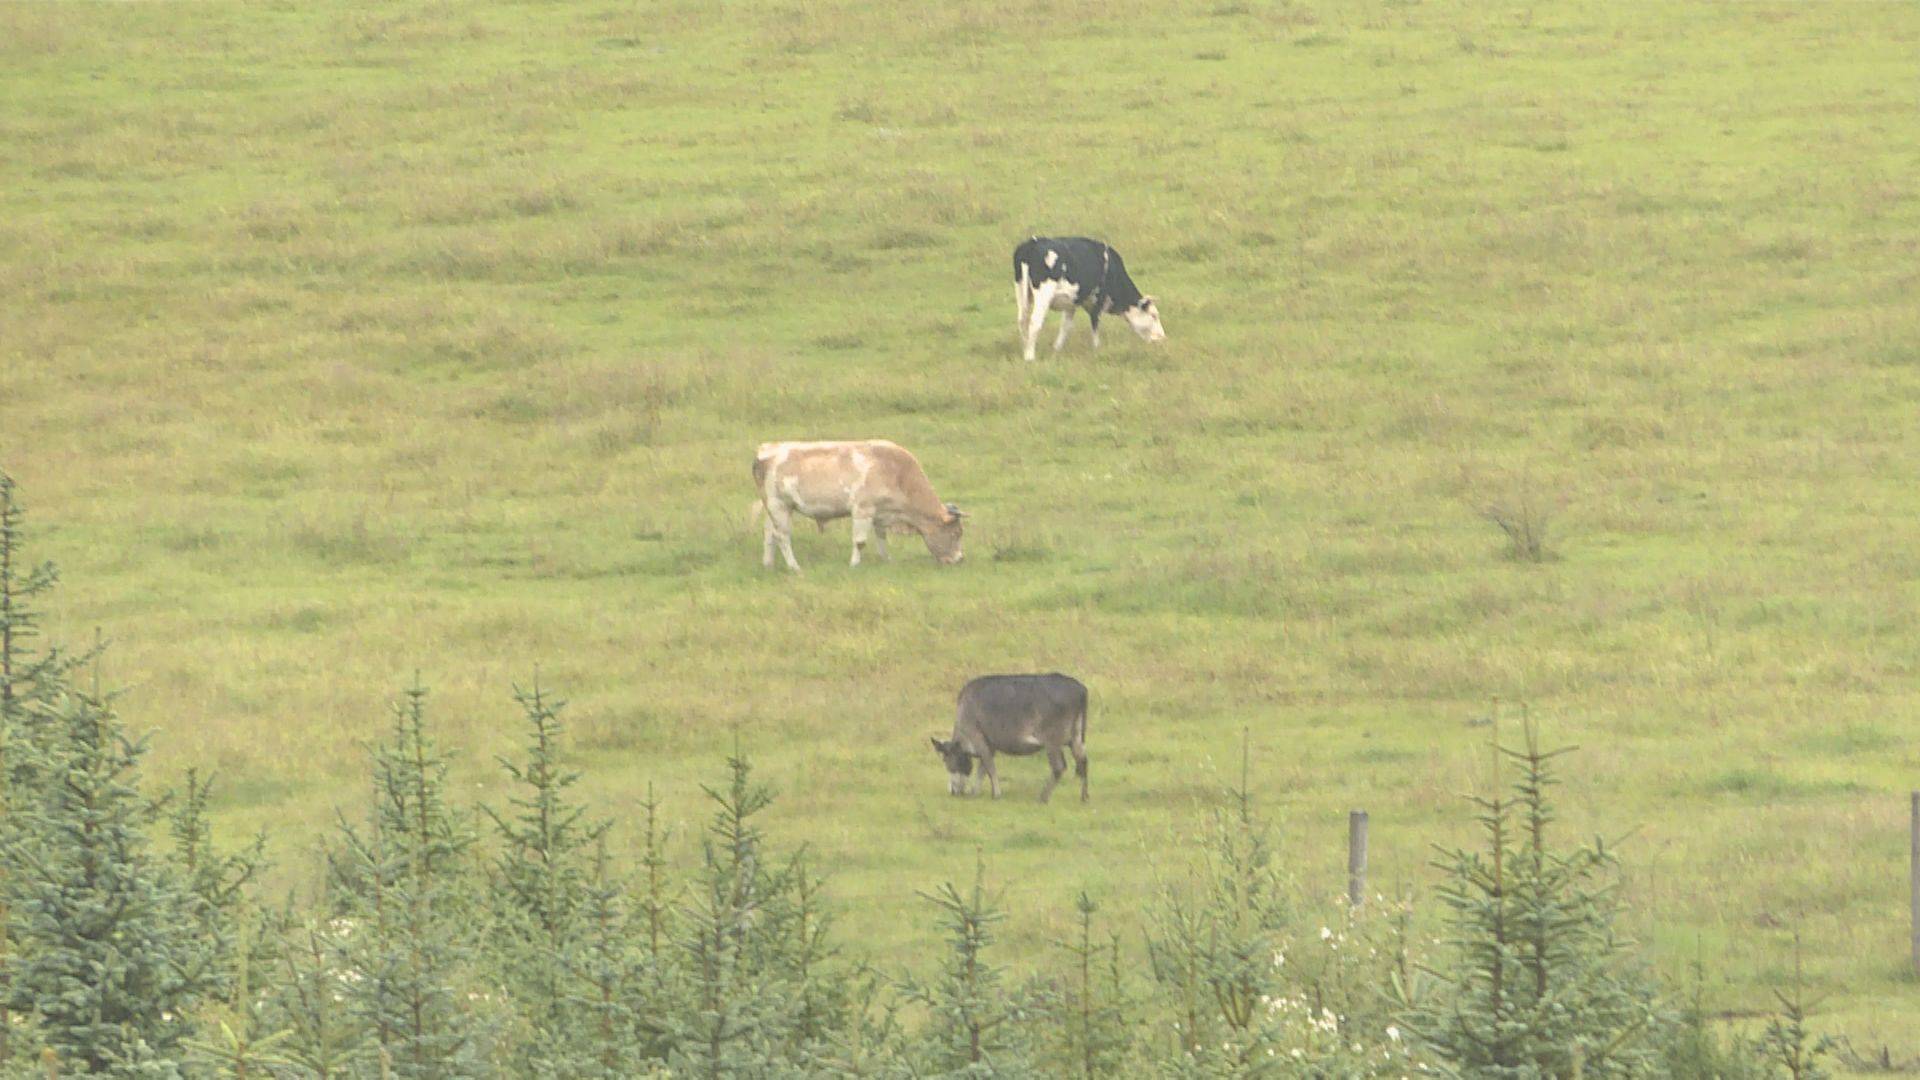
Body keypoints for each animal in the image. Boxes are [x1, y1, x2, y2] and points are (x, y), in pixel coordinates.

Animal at [744, 440, 960, 572]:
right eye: (956, 534)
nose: (960, 559)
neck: (896, 472)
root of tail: (766, 450)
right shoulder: (863, 510)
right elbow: (860, 542)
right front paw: (855, 564)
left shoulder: (880, 513)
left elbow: (881, 538)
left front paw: (887, 560)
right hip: (778, 506)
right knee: (782, 537)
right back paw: (795, 567)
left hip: (777, 509)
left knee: (769, 533)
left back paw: (768, 564)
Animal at [933, 672, 1090, 799]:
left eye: (946, 761)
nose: (953, 791)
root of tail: (1080, 689)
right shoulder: (990, 744)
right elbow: (982, 769)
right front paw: (976, 792)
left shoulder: (978, 737)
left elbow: (989, 766)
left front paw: (995, 794)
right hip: (1076, 736)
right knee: (1083, 761)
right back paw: (1084, 797)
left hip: (1052, 740)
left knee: (1059, 767)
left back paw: (1043, 797)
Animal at [1013, 235, 1159, 361]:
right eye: (1154, 315)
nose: (1161, 338)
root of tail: (1033, 242)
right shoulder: (1098, 300)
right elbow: (1095, 324)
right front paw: (1097, 348)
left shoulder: (1071, 302)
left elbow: (1065, 326)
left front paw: (1056, 349)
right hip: (1044, 293)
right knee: (1035, 322)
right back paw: (1030, 356)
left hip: (1021, 289)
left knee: (1022, 320)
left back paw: (1025, 349)